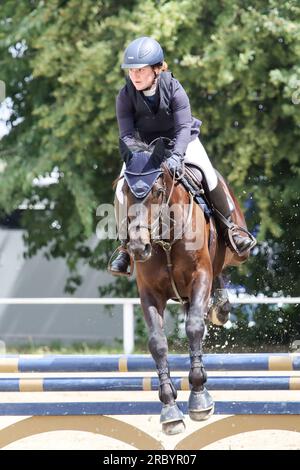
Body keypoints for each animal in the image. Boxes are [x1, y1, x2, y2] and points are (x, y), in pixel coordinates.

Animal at [118, 136, 253, 434]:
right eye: (125, 192)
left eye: (158, 191)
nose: (138, 248)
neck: (166, 238)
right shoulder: (150, 293)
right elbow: (157, 343)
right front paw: (170, 408)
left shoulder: (199, 276)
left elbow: (193, 328)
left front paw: (200, 397)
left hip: (236, 251)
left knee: (222, 265)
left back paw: (220, 307)